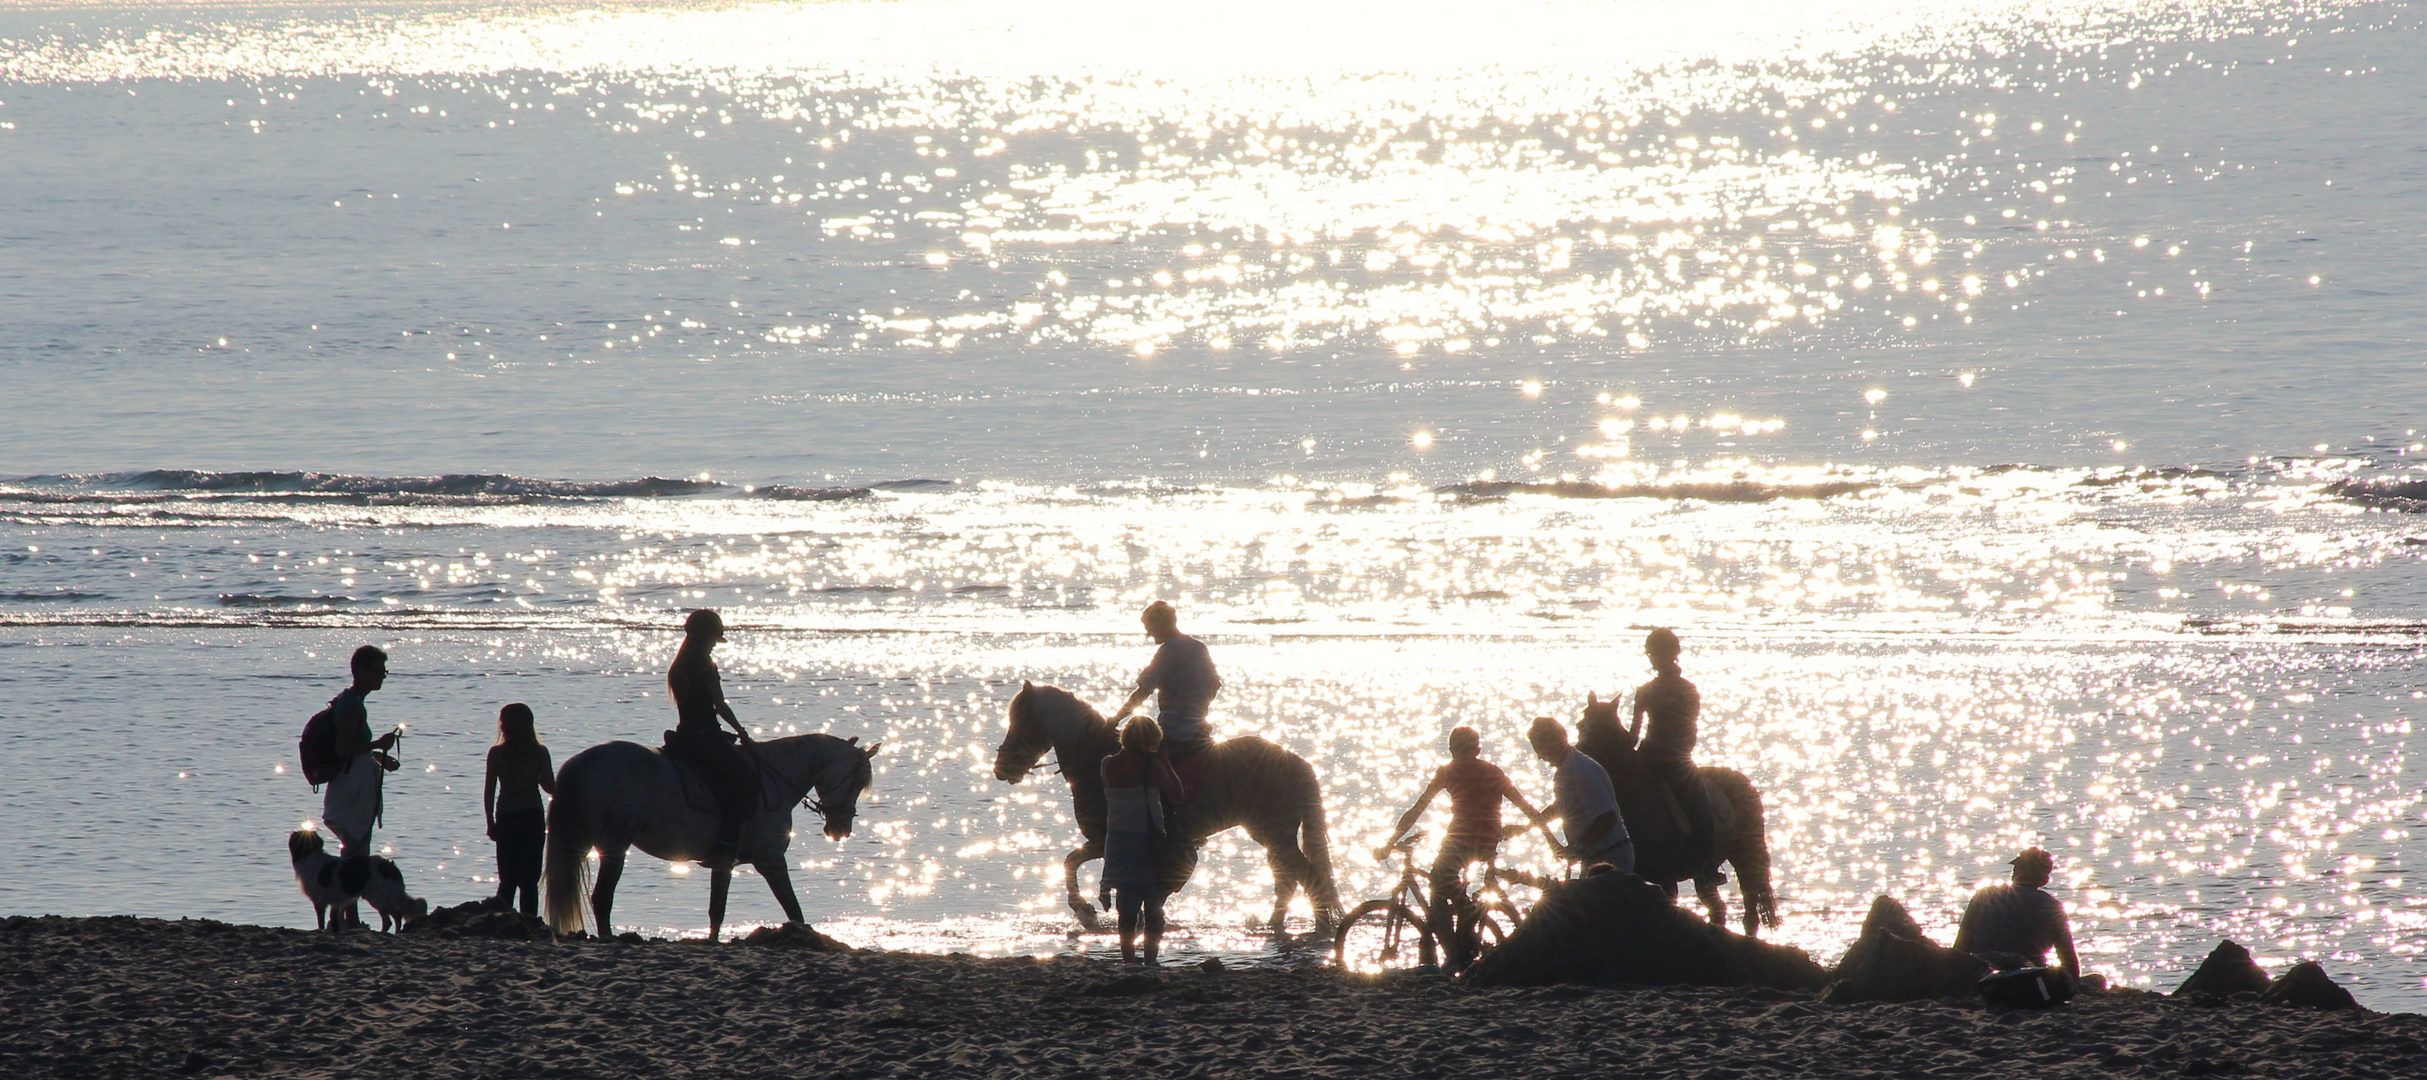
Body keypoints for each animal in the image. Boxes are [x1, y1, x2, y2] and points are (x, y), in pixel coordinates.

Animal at [286, 830, 429, 931]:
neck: (309, 854)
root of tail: (390, 867)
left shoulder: (319, 901)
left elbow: (321, 921)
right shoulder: (336, 902)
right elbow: (334, 920)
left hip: (378, 898)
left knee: (397, 915)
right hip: (380, 899)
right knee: (388, 921)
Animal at [543, 732, 883, 936]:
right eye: (857, 781)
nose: (841, 829)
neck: (772, 780)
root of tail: (579, 764)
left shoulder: (724, 863)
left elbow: (716, 911)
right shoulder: (771, 860)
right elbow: (793, 909)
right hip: (614, 846)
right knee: (602, 898)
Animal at [995, 679, 1359, 927]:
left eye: (1021, 722)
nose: (1001, 769)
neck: (1097, 756)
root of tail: (1295, 760)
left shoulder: (1105, 839)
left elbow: (1070, 862)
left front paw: (1084, 910)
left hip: (1274, 833)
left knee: (1304, 874)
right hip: (1272, 835)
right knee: (1290, 876)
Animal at [1572, 689, 1786, 936]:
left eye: (1606, 730)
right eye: (1580, 724)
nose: (1580, 758)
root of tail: (1742, 779)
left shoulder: (1666, 878)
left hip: (1745, 853)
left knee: (1749, 910)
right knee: (1718, 908)